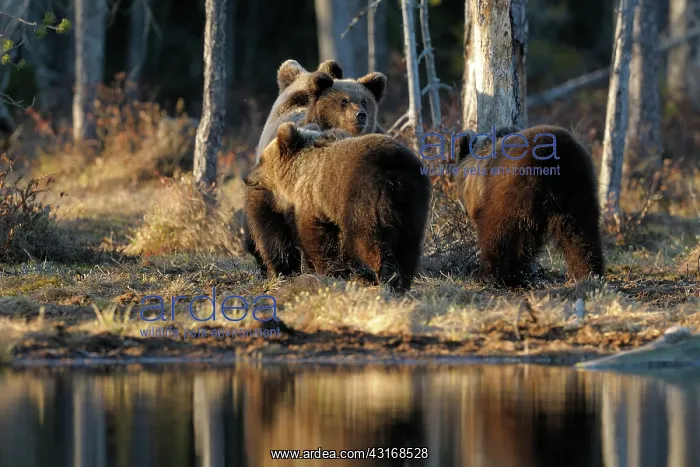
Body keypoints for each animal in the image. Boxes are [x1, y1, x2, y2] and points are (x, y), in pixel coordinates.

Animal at [243, 122, 431, 293]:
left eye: (261, 160)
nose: (246, 177)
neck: (297, 174)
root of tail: (394, 171)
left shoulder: (314, 199)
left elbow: (316, 238)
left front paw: (327, 271)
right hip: (413, 202)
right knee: (409, 244)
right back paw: (403, 281)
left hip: (363, 198)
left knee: (367, 240)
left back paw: (386, 278)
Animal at [452, 124, 605, 286]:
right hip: (578, 188)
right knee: (582, 231)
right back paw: (589, 272)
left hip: (515, 188)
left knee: (501, 230)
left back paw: (492, 272)